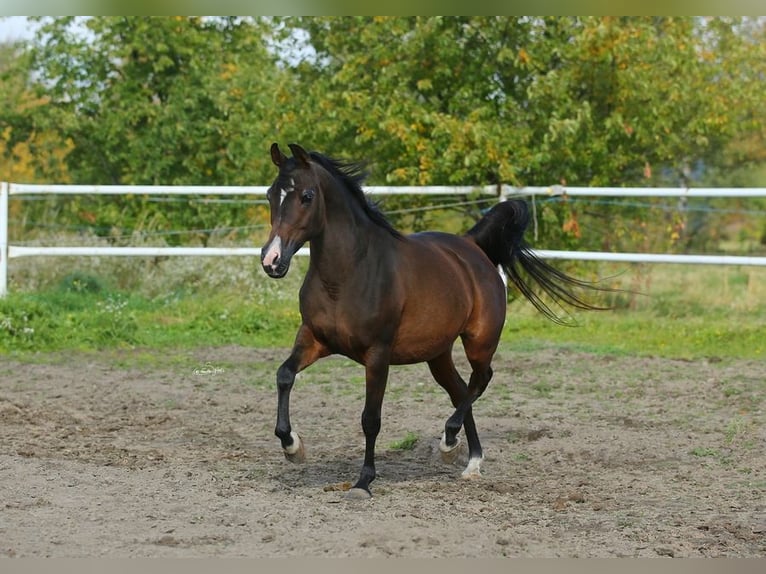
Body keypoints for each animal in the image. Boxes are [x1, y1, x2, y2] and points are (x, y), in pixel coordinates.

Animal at [260, 144, 608, 500]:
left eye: (306, 196)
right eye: (271, 194)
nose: (272, 261)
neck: (348, 274)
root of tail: (471, 246)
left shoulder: (377, 354)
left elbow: (371, 418)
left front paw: (363, 482)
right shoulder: (314, 338)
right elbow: (284, 375)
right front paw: (292, 446)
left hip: (479, 341)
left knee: (480, 380)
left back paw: (449, 442)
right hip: (437, 354)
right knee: (460, 390)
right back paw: (470, 461)